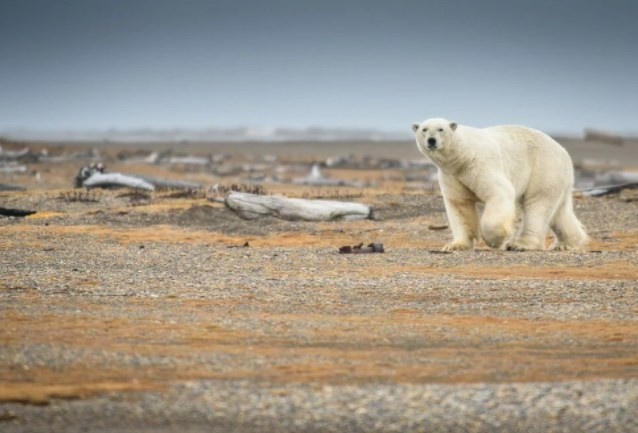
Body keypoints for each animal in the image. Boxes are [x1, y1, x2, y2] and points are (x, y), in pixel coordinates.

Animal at [416, 116, 592, 251]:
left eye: (440, 129)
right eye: (424, 129)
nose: (431, 140)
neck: (461, 157)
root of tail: (564, 153)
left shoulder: (480, 165)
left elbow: (499, 192)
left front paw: (496, 240)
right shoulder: (452, 175)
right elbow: (459, 205)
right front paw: (456, 245)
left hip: (544, 169)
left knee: (537, 204)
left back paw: (520, 244)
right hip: (557, 177)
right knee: (559, 212)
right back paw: (565, 244)